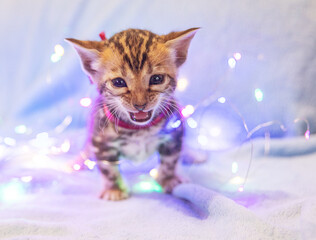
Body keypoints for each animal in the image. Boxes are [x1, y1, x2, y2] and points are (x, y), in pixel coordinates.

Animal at [66, 27, 198, 201]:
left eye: (157, 78)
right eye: (118, 82)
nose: (140, 105)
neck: (138, 130)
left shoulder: (174, 132)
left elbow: (170, 160)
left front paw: (169, 179)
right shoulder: (101, 142)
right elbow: (108, 168)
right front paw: (114, 189)